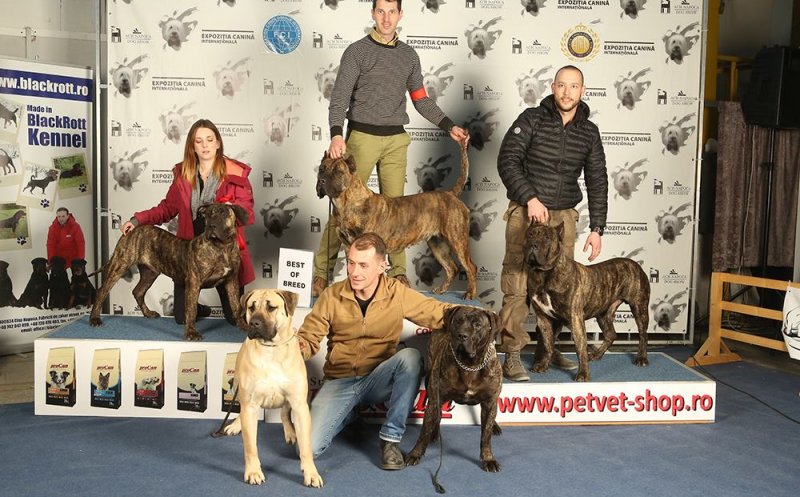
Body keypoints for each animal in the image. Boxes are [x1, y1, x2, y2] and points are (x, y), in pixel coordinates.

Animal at [90, 202, 248, 340]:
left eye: (223, 213)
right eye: (208, 215)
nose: (211, 226)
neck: (222, 247)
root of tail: (131, 230)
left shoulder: (231, 281)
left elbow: (236, 306)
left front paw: (243, 325)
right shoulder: (194, 283)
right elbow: (191, 310)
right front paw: (191, 333)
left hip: (150, 273)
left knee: (138, 291)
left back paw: (148, 313)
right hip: (120, 265)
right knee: (102, 291)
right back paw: (94, 318)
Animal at [220, 288, 324, 486]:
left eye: (271, 307)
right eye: (251, 307)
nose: (254, 323)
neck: (272, 350)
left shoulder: (300, 405)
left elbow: (306, 447)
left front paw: (311, 473)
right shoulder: (250, 404)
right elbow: (250, 447)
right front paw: (253, 472)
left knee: (284, 413)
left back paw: (290, 432)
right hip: (238, 388)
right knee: (241, 410)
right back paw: (236, 425)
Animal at [314, 143, 478, 298]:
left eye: (338, 172)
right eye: (321, 169)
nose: (321, 181)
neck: (347, 203)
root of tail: (451, 194)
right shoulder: (349, 247)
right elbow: (352, 271)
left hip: (457, 239)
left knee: (470, 267)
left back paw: (470, 293)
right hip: (437, 244)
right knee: (452, 268)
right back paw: (441, 290)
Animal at [410, 304, 504, 470]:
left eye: (477, 325)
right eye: (458, 321)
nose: (462, 335)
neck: (469, 364)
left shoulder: (490, 401)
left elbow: (485, 436)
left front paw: (488, 458)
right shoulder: (435, 399)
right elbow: (424, 432)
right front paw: (416, 453)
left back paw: (494, 425)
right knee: (437, 415)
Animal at [524, 223, 648, 382]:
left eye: (546, 237)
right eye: (530, 234)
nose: (533, 244)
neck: (543, 274)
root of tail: (636, 265)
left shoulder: (575, 319)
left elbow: (580, 347)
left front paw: (583, 374)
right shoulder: (543, 319)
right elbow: (548, 344)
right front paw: (544, 364)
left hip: (639, 308)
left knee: (643, 334)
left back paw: (642, 358)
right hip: (603, 314)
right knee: (611, 335)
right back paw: (596, 354)